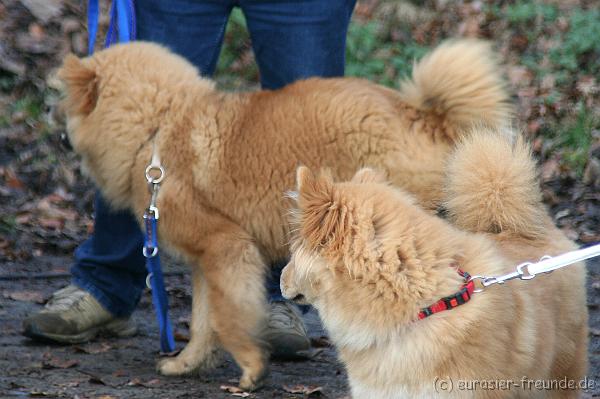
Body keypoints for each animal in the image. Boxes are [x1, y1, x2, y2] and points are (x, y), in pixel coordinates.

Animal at [58, 39, 512, 390]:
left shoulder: (227, 248)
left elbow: (229, 317)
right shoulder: (207, 263)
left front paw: (251, 368)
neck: (158, 126)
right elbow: (204, 321)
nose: (59, 135)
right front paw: (186, 363)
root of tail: (424, 116)